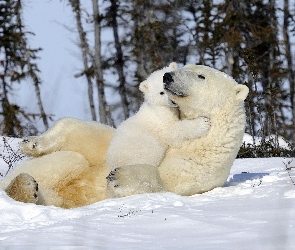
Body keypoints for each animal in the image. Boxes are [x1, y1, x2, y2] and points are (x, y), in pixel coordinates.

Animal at [0, 64, 250, 207]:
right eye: (184, 65)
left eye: (201, 76)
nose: (168, 76)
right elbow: (91, 138)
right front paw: (32, 142)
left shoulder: (199, 165)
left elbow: (165, 183)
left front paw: (119, 176)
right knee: (70, 159)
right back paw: (25, 182)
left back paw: (25, 188)